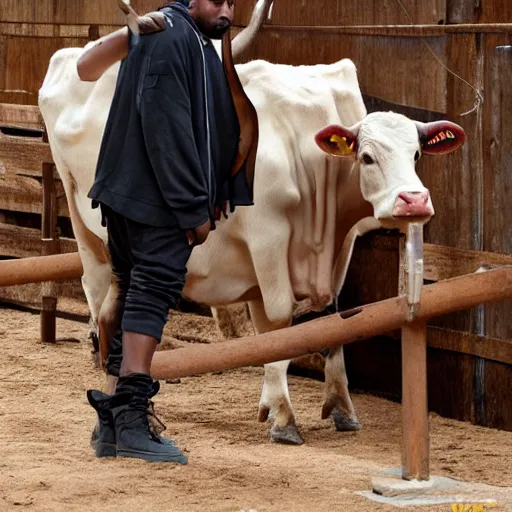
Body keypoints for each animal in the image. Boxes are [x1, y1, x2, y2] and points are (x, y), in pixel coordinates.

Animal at [38, 32, 466, 444]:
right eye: (367, 157)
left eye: (416, 154)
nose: (414, 201)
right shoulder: (268, 237)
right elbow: (278, 328)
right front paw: (283, 416)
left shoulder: (339, 249)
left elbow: (330, 321)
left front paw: (339, 407)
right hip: (89, 238)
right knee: (100, 307)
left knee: (116, 318)